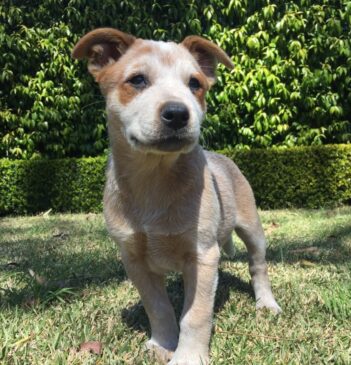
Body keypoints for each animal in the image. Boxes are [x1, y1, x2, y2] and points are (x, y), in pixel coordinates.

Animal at [73, 28, 282, 364]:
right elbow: (157, 307)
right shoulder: (134, 259)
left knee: (258, 265)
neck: (154, 178)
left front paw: (188, 356)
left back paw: (266, 303)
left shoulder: (202, 254)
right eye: (137, 80)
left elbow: (196, 314)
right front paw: (162, 343)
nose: (177, 113)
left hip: (252, 227)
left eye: (195, 84)